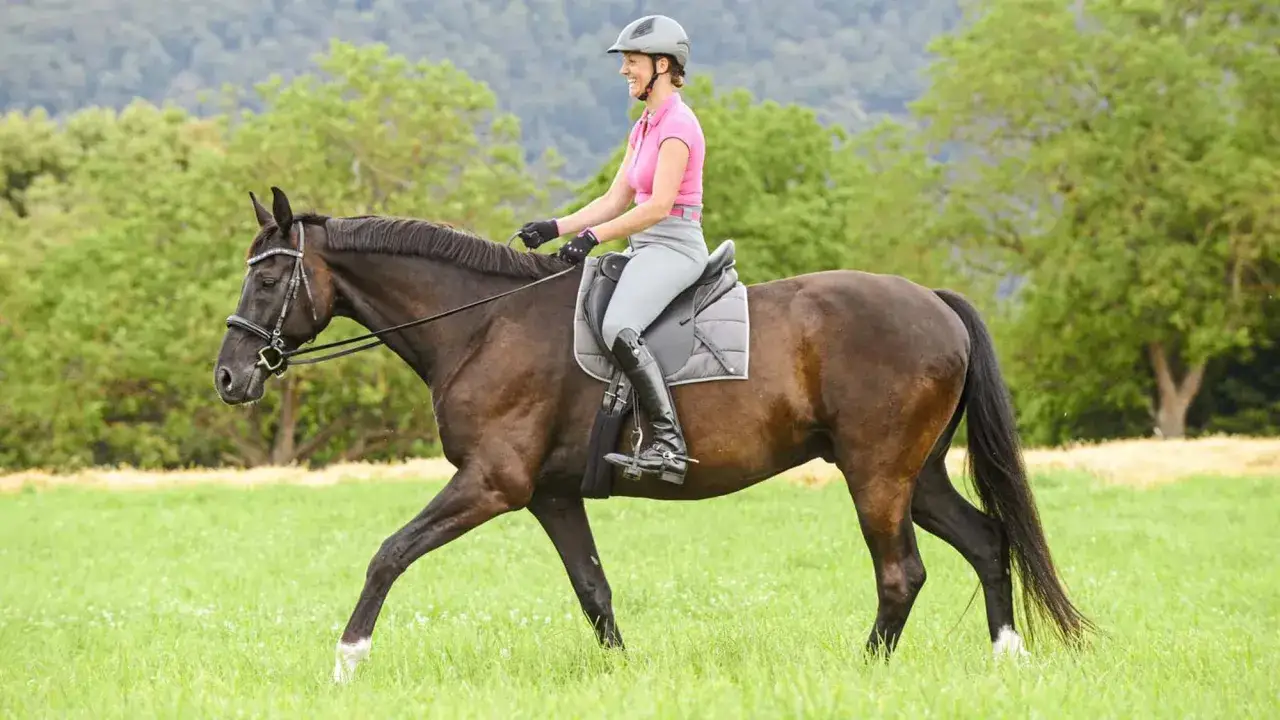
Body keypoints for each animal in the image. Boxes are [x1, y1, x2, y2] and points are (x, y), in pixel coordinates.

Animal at [213, 188, 1094, 684]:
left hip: (876, 474)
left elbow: (388, 554)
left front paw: (347, 659)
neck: (482, 324)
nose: (229, 377)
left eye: (268, 276)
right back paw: (1007, 657)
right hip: (919, 475)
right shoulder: (550, 496)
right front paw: (623, 675)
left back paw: (869, 670)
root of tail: (934, 302)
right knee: (985, 542)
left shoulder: (490, 483)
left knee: (901, 573)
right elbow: (593, 589)